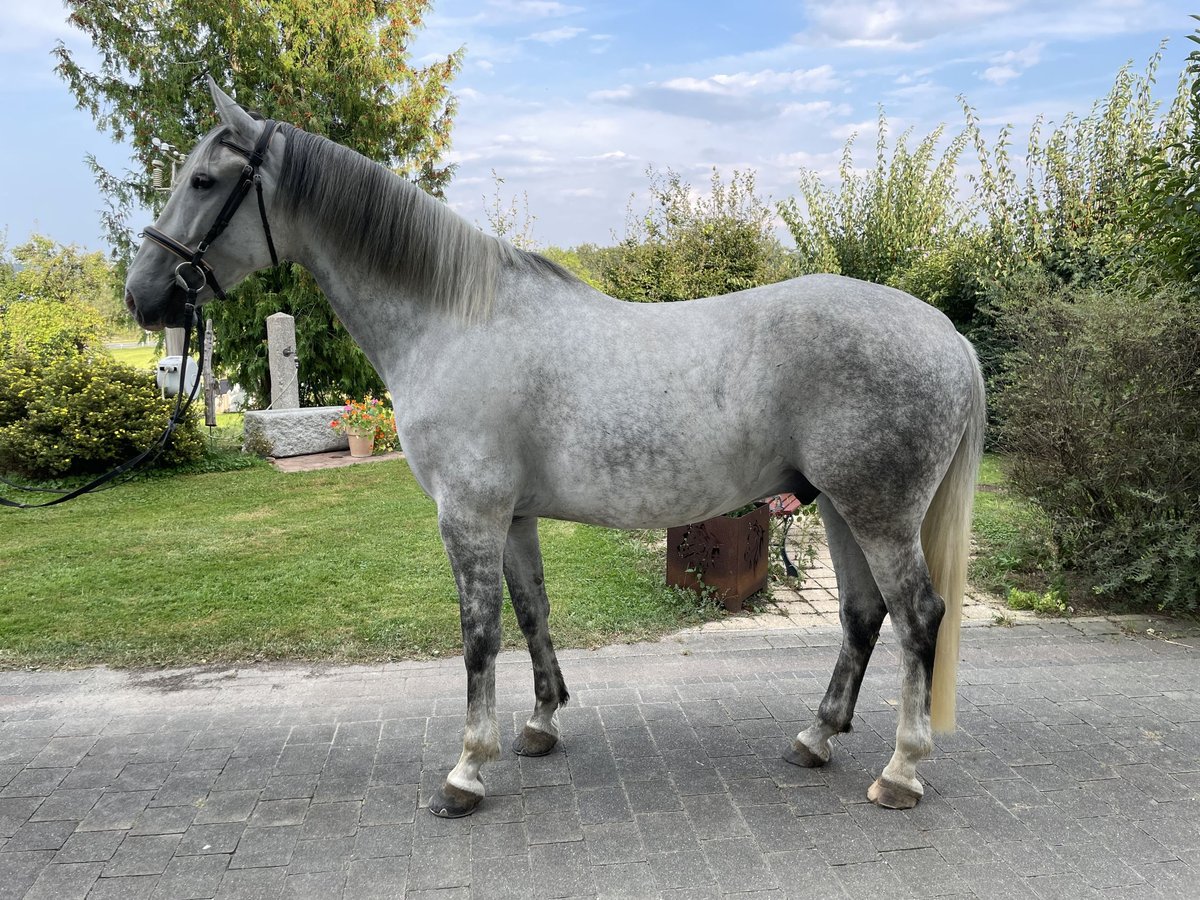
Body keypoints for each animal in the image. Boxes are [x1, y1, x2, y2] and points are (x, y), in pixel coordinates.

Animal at [124, 81, 984, 820]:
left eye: (204, 180)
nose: (142, 295)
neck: (456, 321)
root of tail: (947, 335)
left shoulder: (468, 516)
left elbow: (479, 636)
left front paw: (467, 769)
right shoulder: (511, 517)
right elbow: (533, 610)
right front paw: (540, 724)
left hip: (878, 514)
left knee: (917, 616)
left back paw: (901, 770)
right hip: (840, 506)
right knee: (863, 613)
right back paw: (816, 736)